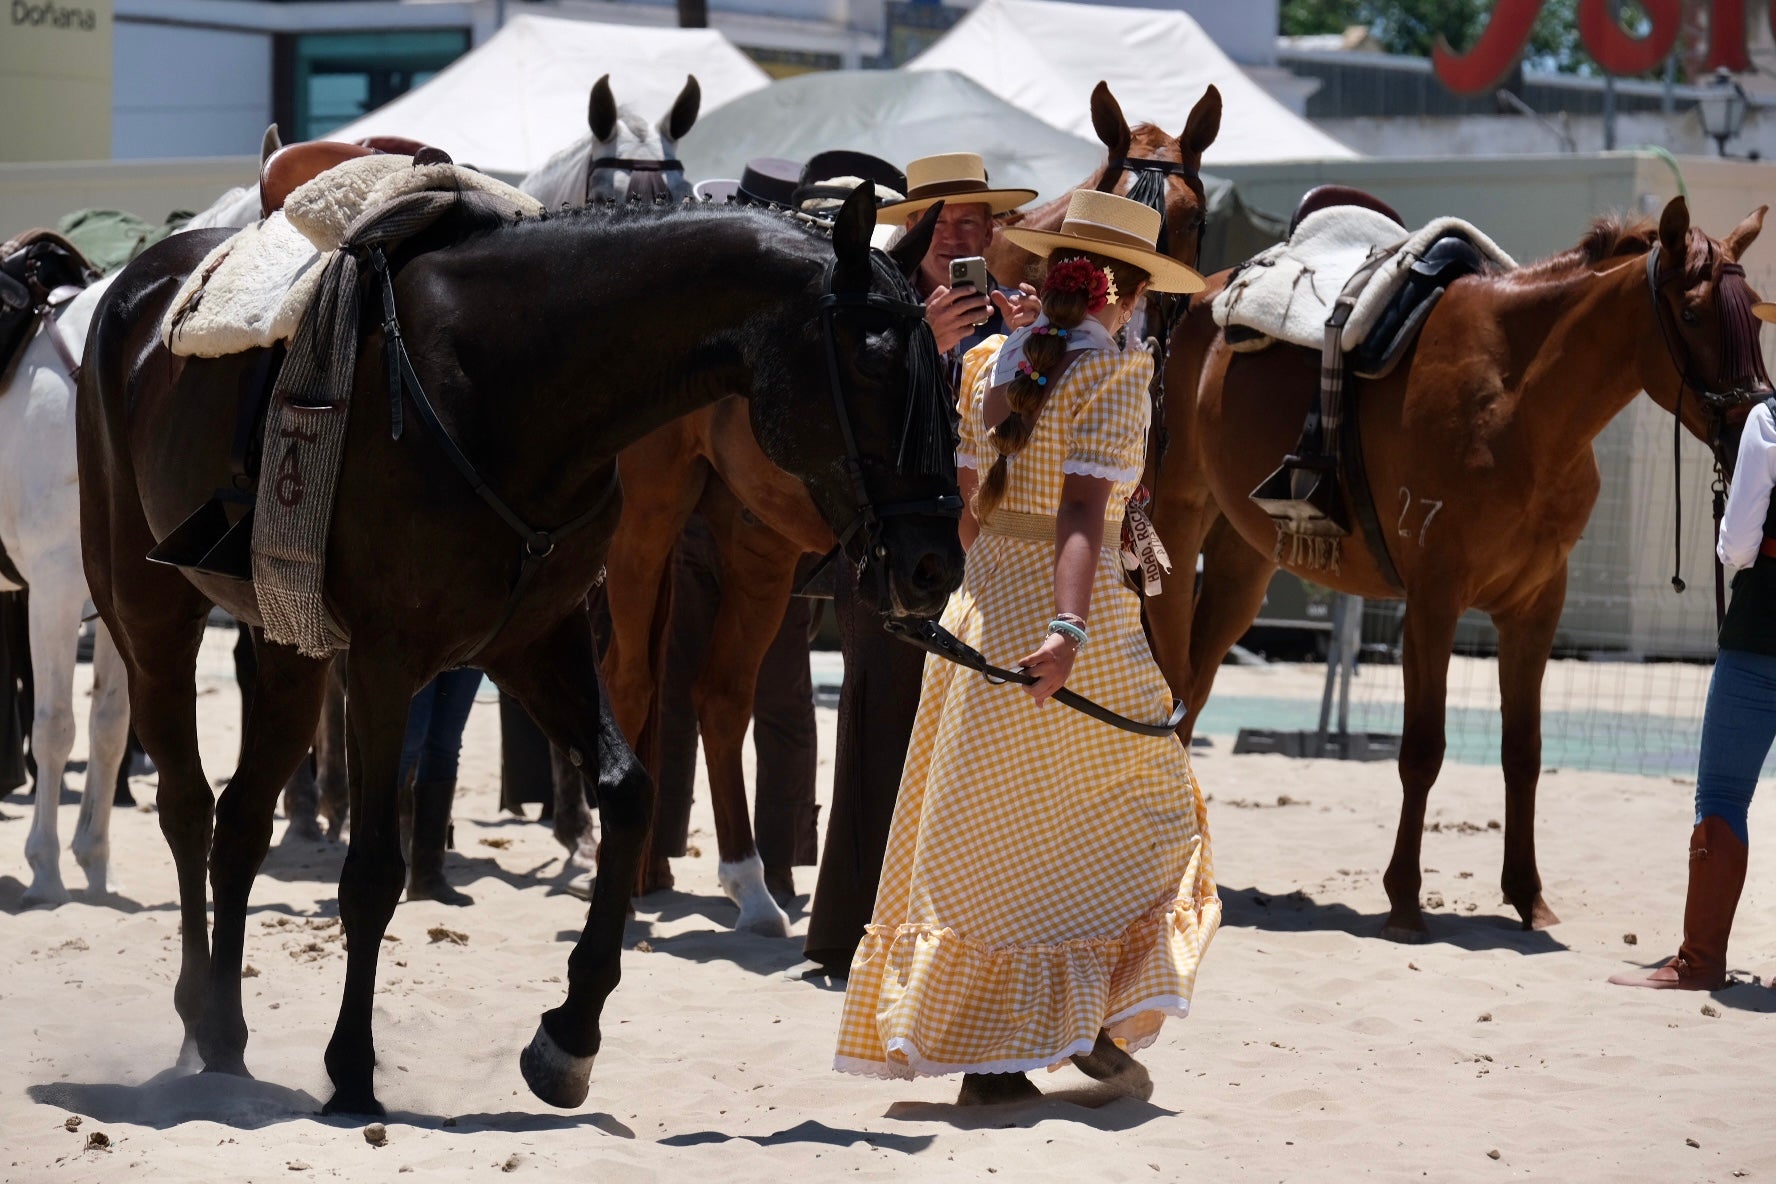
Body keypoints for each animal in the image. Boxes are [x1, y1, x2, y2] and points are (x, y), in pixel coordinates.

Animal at [5, 175, 262, 901]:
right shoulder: (55, 591)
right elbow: (56, 727)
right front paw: (45, 867)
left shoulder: (121, 599)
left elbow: (111, 726)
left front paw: (91, 858)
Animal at [79, 189, 973, 1114]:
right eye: (870, 364)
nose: (934, 564)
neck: (506, 386)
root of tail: (134, 286)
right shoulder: (384, 664)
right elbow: (373, 871)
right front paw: (353, 1069)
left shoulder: (536, 641)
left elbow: (626, 792)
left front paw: (568, 1038)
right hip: (149, 620)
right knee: (187, 807)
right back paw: (199, 1015)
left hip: (291, 650)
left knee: (241, 823)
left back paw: (225, 1034)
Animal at [596, 81, 1221, 937]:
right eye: (1121, 194)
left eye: (1190, 217)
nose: (1142, 333)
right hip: (647, 526)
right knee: (629, 679)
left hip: (757, 544)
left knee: (718, 695)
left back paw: (748, 886)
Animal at [1143, 198, 1768, 951]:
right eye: (1696, 314)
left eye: (1756, 317)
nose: (1755, 425)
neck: (1519, 401)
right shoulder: (1433, 601)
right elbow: (1423, 749)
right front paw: (1405, 901)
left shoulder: (1535, 608)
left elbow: (1524, 751)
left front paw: (1528, 898)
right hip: (1178, 523)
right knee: (1174, 681)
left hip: (1245, 557)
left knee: (1196, 687)